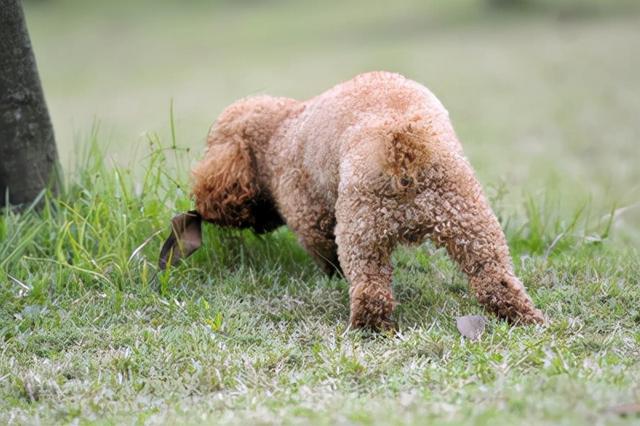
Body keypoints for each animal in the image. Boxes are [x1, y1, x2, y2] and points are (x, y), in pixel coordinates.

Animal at [160, 70, 544, 330]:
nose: (199, 206)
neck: (279, 133)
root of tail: (402, 141)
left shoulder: (309, 217)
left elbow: (322, 250)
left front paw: (330, 277)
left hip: (362, 231)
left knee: (370, 288)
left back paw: (367, 326)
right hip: (470, 219)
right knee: (494, 276)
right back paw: (522, 315)